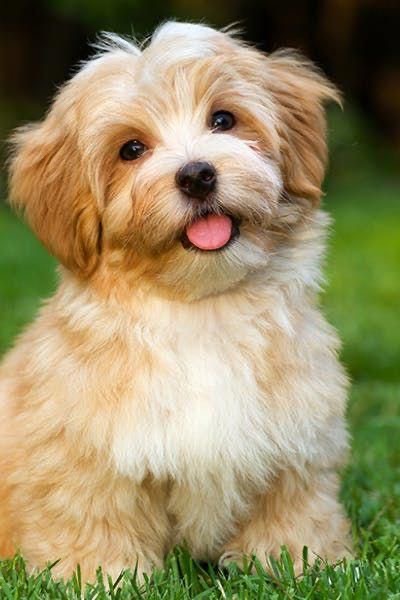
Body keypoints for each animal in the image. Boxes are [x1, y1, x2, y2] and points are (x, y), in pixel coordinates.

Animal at [0, 21, 352, 580]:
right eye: (131, 149)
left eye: (223, 120)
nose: (196, 175)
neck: (199, 307)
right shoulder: (88, 453)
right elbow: (92, 515)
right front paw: (101, 576)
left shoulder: (296, 440)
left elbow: (293, 509)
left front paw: (302, 563)